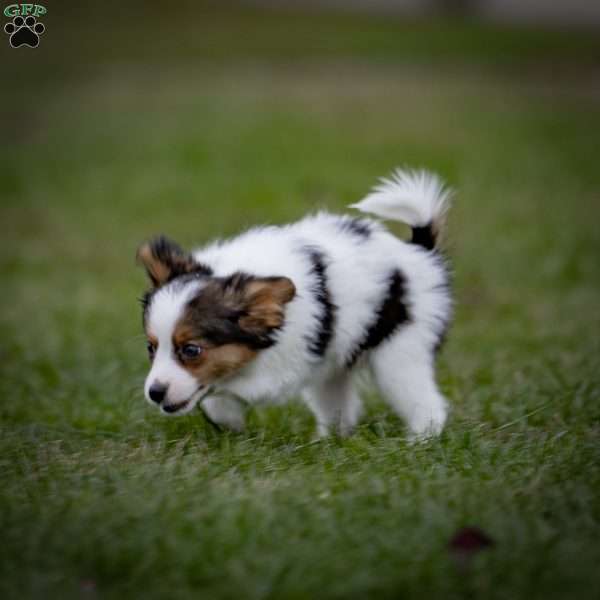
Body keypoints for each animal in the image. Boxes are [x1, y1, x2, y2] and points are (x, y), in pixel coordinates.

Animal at [138, 169, 452, 440]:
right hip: (333, 371)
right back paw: (327, 442)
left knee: (427, 403)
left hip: (399, 355)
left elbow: (228, 386)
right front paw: (227, 421)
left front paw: (225, 414)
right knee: (340, 409)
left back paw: (420, 441)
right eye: (151, 348)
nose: (155, 392)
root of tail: (418, 250)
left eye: (192, 350)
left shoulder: (278, 369)